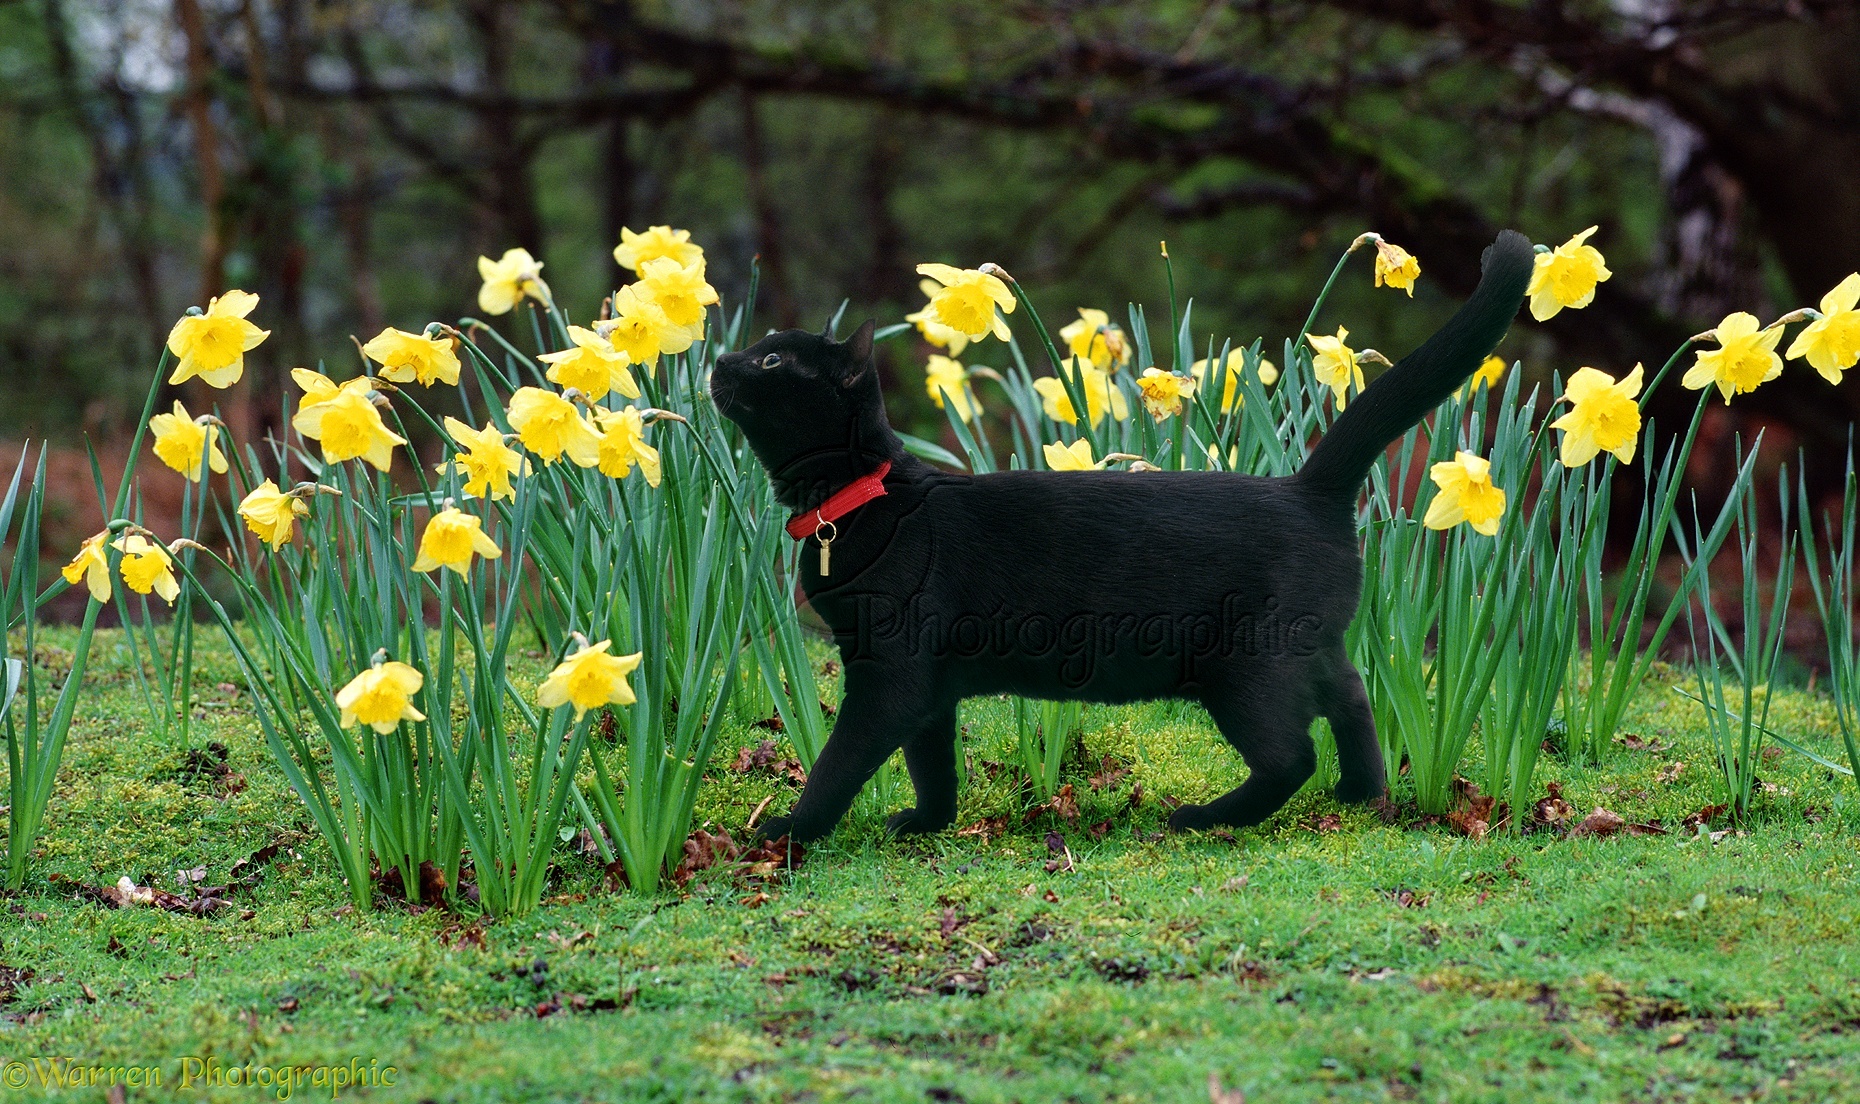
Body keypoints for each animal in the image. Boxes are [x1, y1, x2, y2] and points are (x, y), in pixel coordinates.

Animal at [703, 227, 1532, 836]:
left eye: (770, 360)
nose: (718, 358)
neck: (859, 499)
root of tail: (1305, 487)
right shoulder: (928, 688)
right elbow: (933, 763)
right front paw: (926, 823)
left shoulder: (891, 673)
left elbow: (842, 760)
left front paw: (789, 830)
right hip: (1308, 646)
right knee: (1352, 697)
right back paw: (1358, 793)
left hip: (1247, 666)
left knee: (1290, 755)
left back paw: (1202, 818)